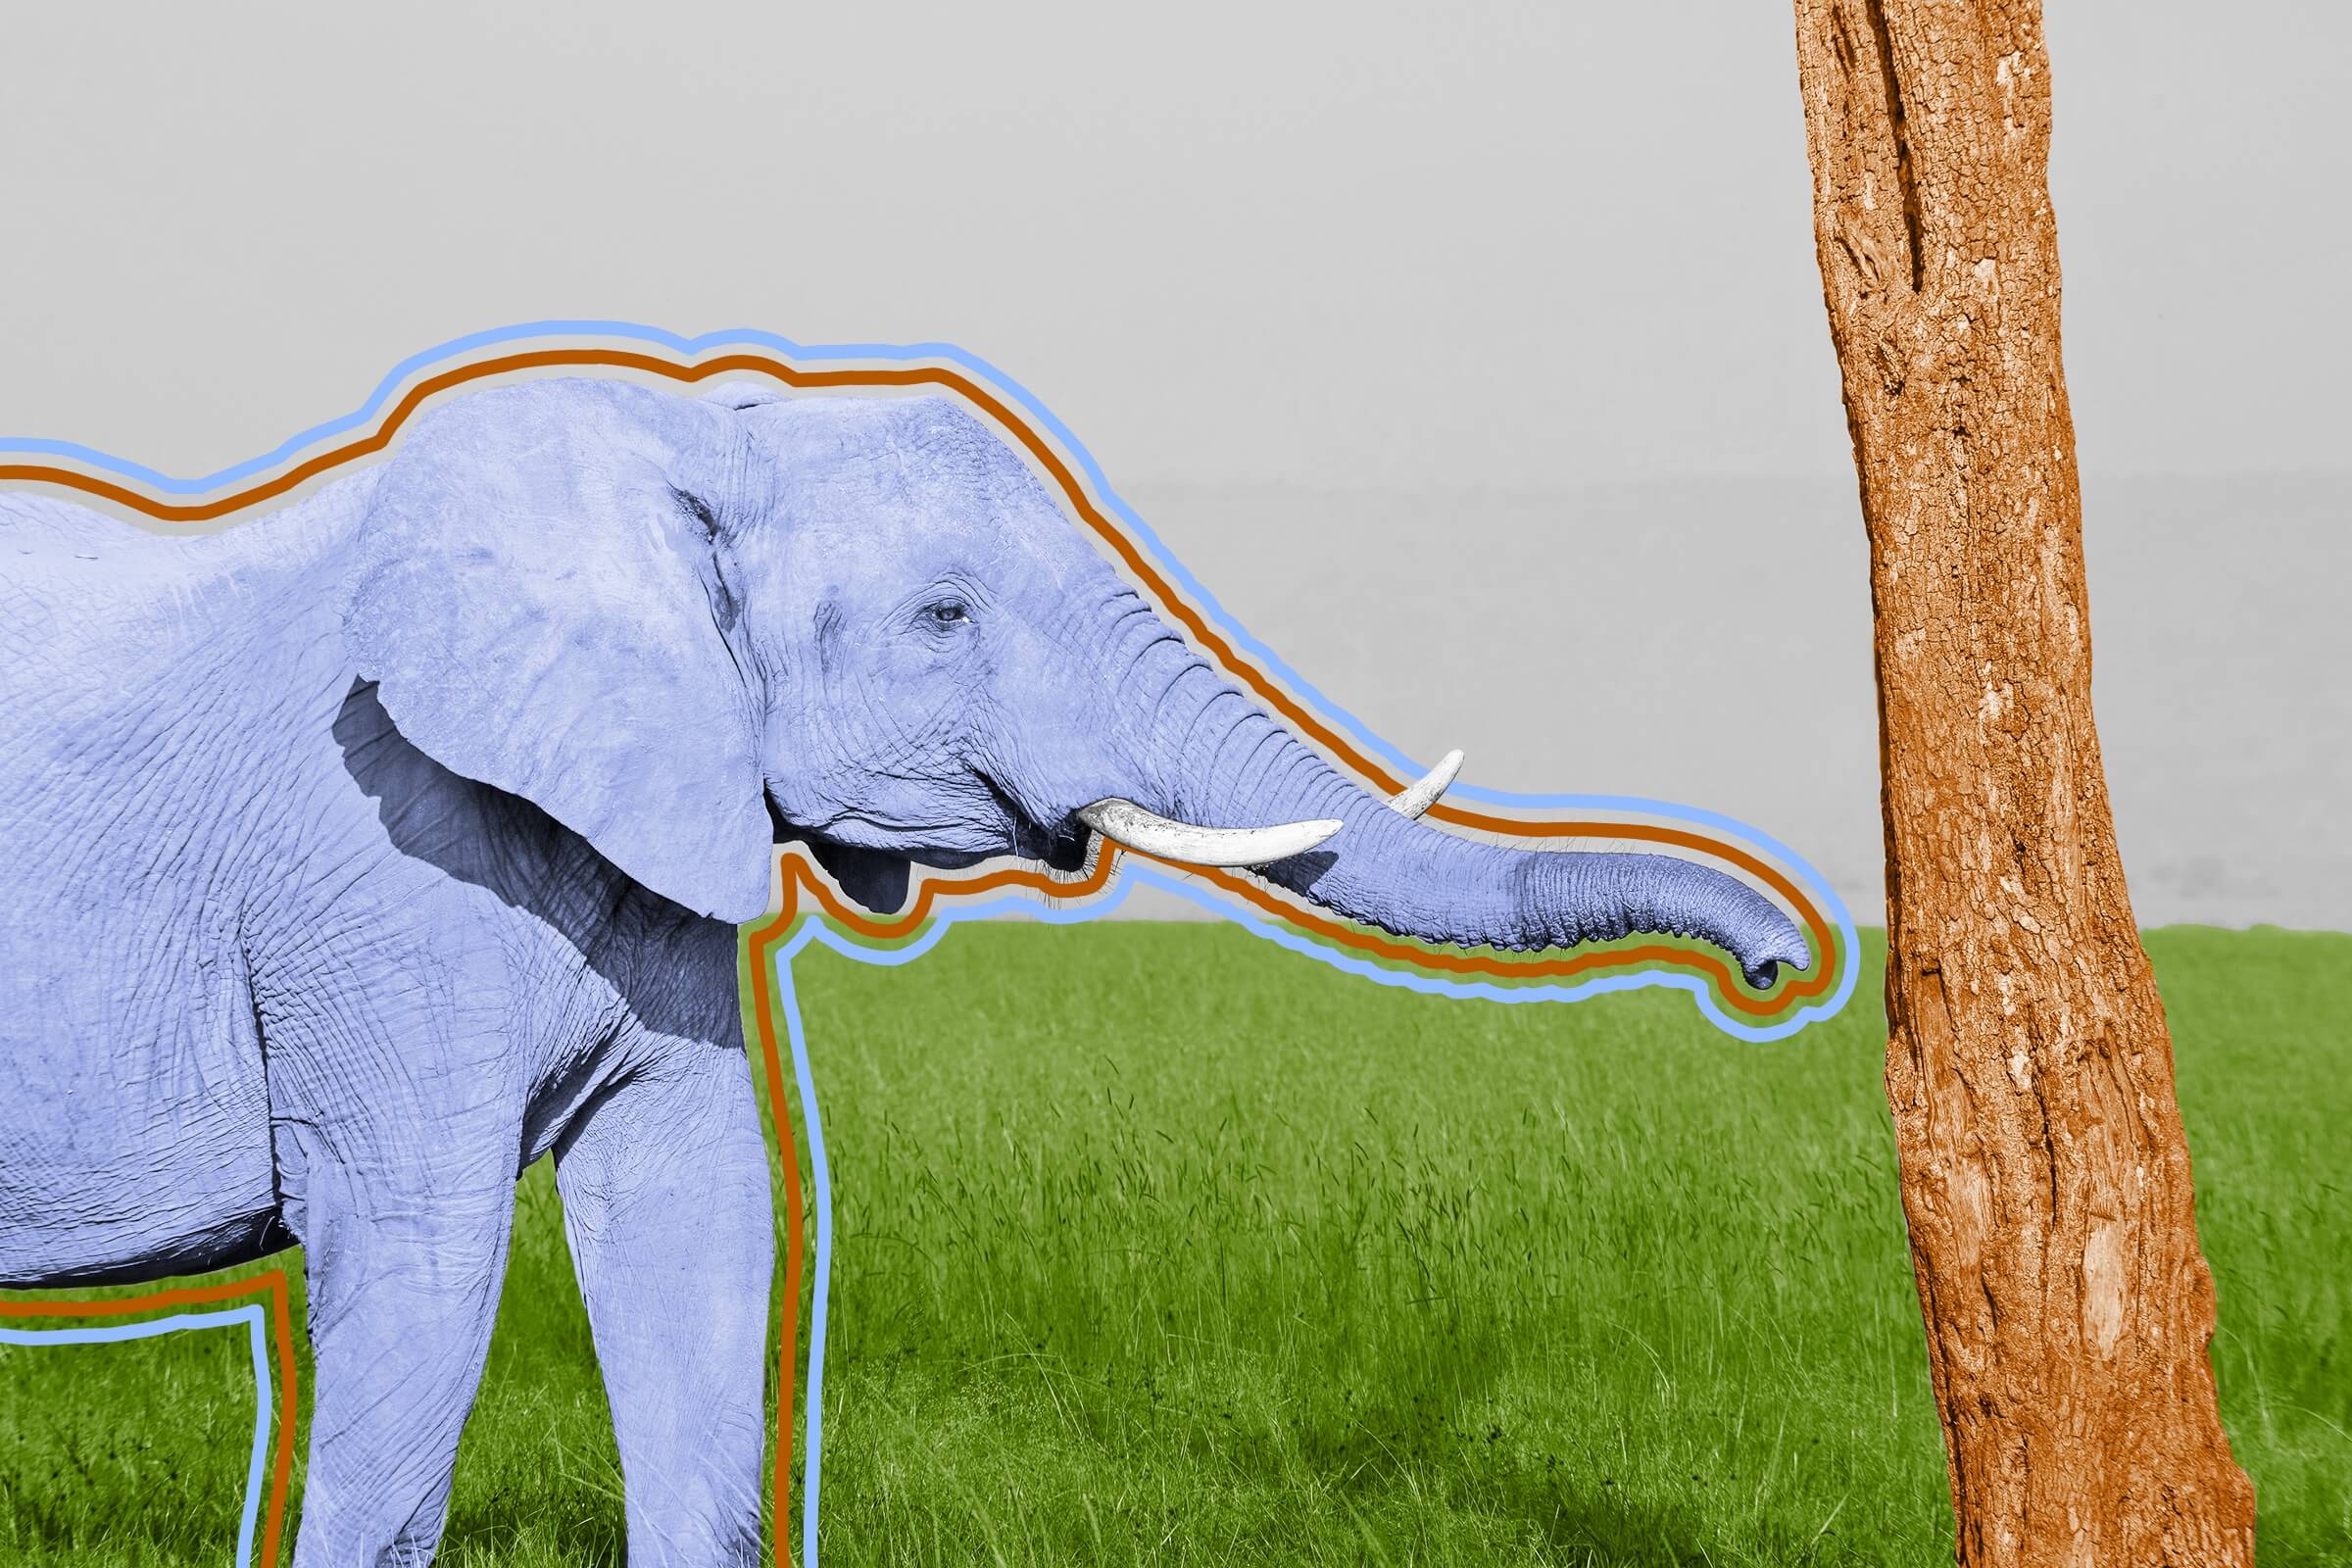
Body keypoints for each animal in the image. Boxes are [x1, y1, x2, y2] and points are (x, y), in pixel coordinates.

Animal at [0, 376, 1808, 1565]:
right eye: (942, 617)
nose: (1783, 971)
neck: (680, 449)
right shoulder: (372, 874)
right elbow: (417, 1252)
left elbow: (702, 1215)